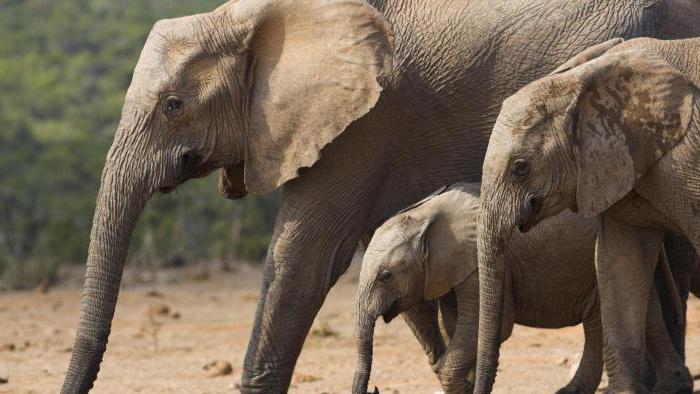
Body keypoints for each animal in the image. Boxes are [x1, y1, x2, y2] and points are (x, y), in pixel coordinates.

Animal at [352, 183, 680, 394]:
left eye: (385, 275)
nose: (376, 388)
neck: (425, 214)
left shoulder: (476, 263)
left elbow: (486, 328)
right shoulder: (451, 272)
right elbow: (458, 327)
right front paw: (468, 384)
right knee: (637, 315)